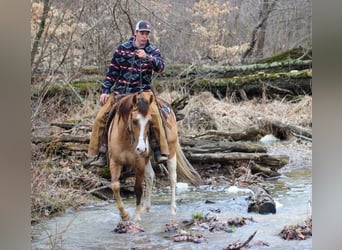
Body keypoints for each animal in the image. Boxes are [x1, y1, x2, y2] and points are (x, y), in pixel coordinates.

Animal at [108, 90, 202, 221]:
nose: (141, 148)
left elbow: (138, 189)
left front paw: (137, 217)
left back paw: (172, 210)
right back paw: (145, 208)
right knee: (151, 177)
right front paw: (125, 215)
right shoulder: (114, 162)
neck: (126, 139)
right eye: (134, 121)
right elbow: (115, 186)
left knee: (172, 179)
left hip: (170, 152)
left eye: (150, 122)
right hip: (147, 159)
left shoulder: (139, 163)